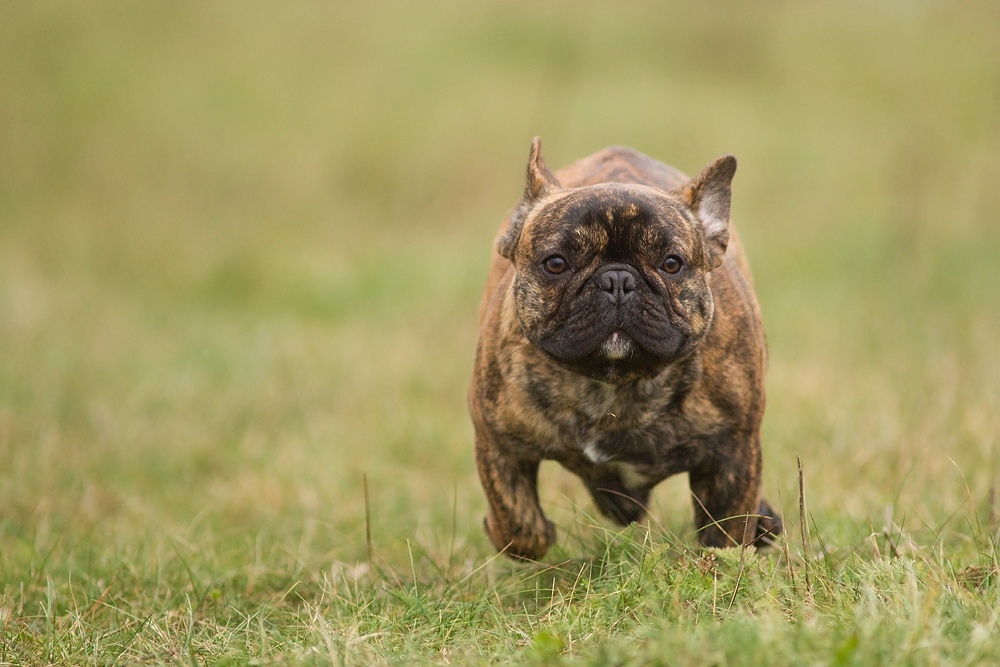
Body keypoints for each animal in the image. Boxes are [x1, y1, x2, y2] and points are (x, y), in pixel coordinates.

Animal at [468, 138, 780, 560]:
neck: (613, 383)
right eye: (555, 263)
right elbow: (517, 523)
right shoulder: (496, 441)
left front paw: (725, 562)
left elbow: (726, 530)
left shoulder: (733, 451)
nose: (617, 279)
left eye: (671, 264)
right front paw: (527, 532)